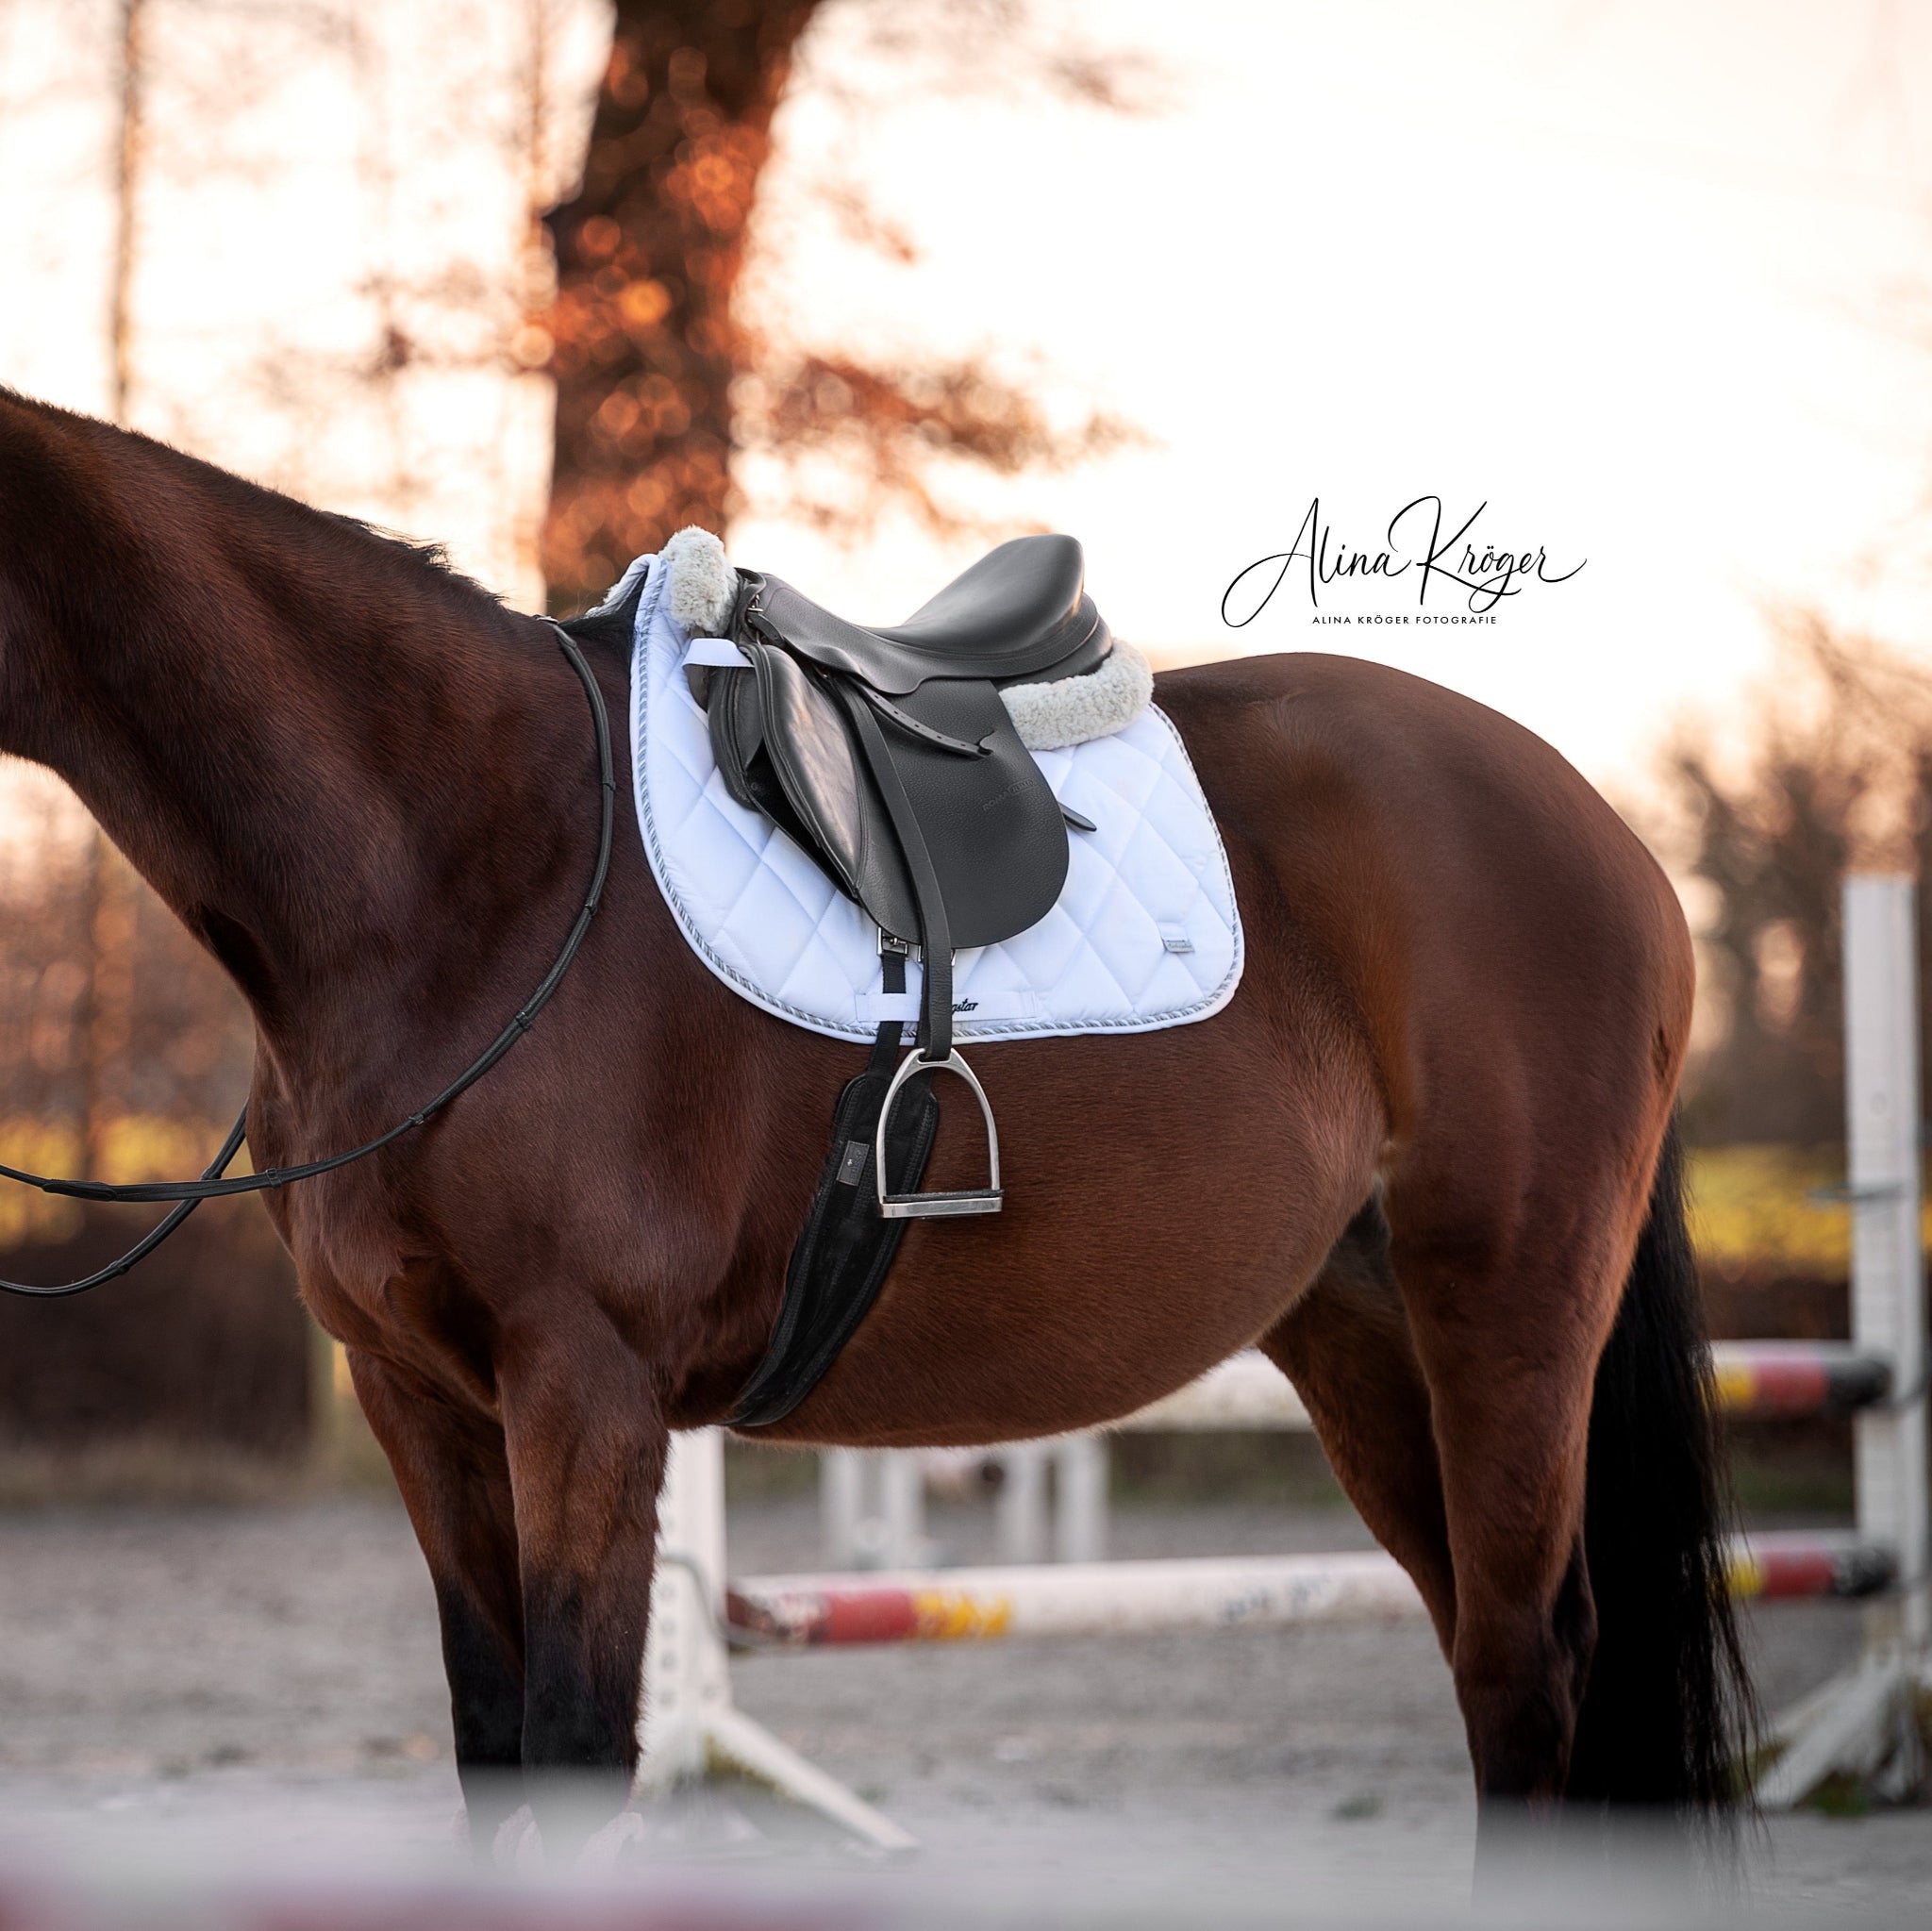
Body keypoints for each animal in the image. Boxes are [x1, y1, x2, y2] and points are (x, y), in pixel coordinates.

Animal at [0, 390, 1750, 1854]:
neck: (468, 869)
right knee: (1490, 1661)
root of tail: (1603, 826)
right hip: (1360, 1331)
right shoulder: (418, 1395)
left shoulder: (584, 1386)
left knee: (1528, 1663)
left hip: (1506, 1320)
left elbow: (574, 1751)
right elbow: (496, 1750)